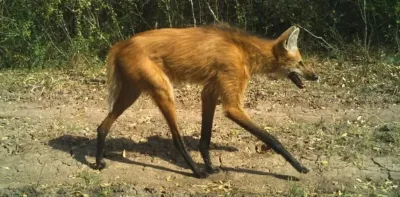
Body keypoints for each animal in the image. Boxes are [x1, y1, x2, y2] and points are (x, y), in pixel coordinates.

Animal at [94, 25, 318, 179]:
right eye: (300, 63)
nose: (316, 76)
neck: (245, 52)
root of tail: (122, 44)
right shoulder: (232, 106)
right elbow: (272, 139)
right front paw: (299, 166)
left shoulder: (209, 93)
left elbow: (205, 138)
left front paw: (210, 165)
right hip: (163, 91)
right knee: (177, 139)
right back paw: (196, 171)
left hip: (132, 93)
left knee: (102, 126)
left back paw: (98, 161)